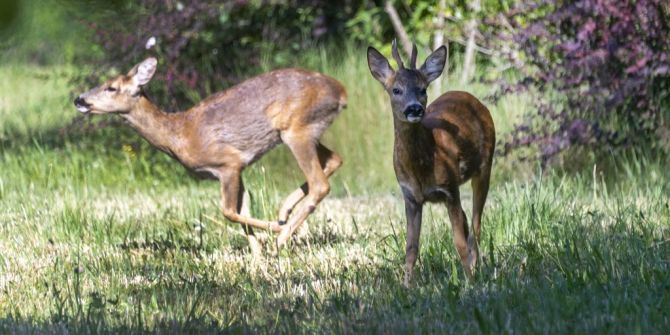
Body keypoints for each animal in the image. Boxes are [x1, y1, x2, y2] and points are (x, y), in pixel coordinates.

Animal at [75, 57, 346, 253]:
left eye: (111, 87)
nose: (79, 99)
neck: (178, 136)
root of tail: (341, 92)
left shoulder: (228, 163)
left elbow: (228, 211)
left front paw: (272, 234)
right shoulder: (238, 169)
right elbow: (242, 211)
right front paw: (257, 257)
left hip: (297, 129)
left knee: (320, 183)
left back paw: (282, 236)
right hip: (305, 129)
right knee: (334, 160)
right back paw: (283, 214)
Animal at [370, 40, 496, 284]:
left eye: (423, 89)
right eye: (396, 90)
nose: (414, 108)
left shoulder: (449, 189)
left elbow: (458, 243)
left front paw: (470, 282)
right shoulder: (410, 197)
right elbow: (411, 247)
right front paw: (406, 286)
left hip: (485, 166)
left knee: (476, 224)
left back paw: (477, 268)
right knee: (467, 221)